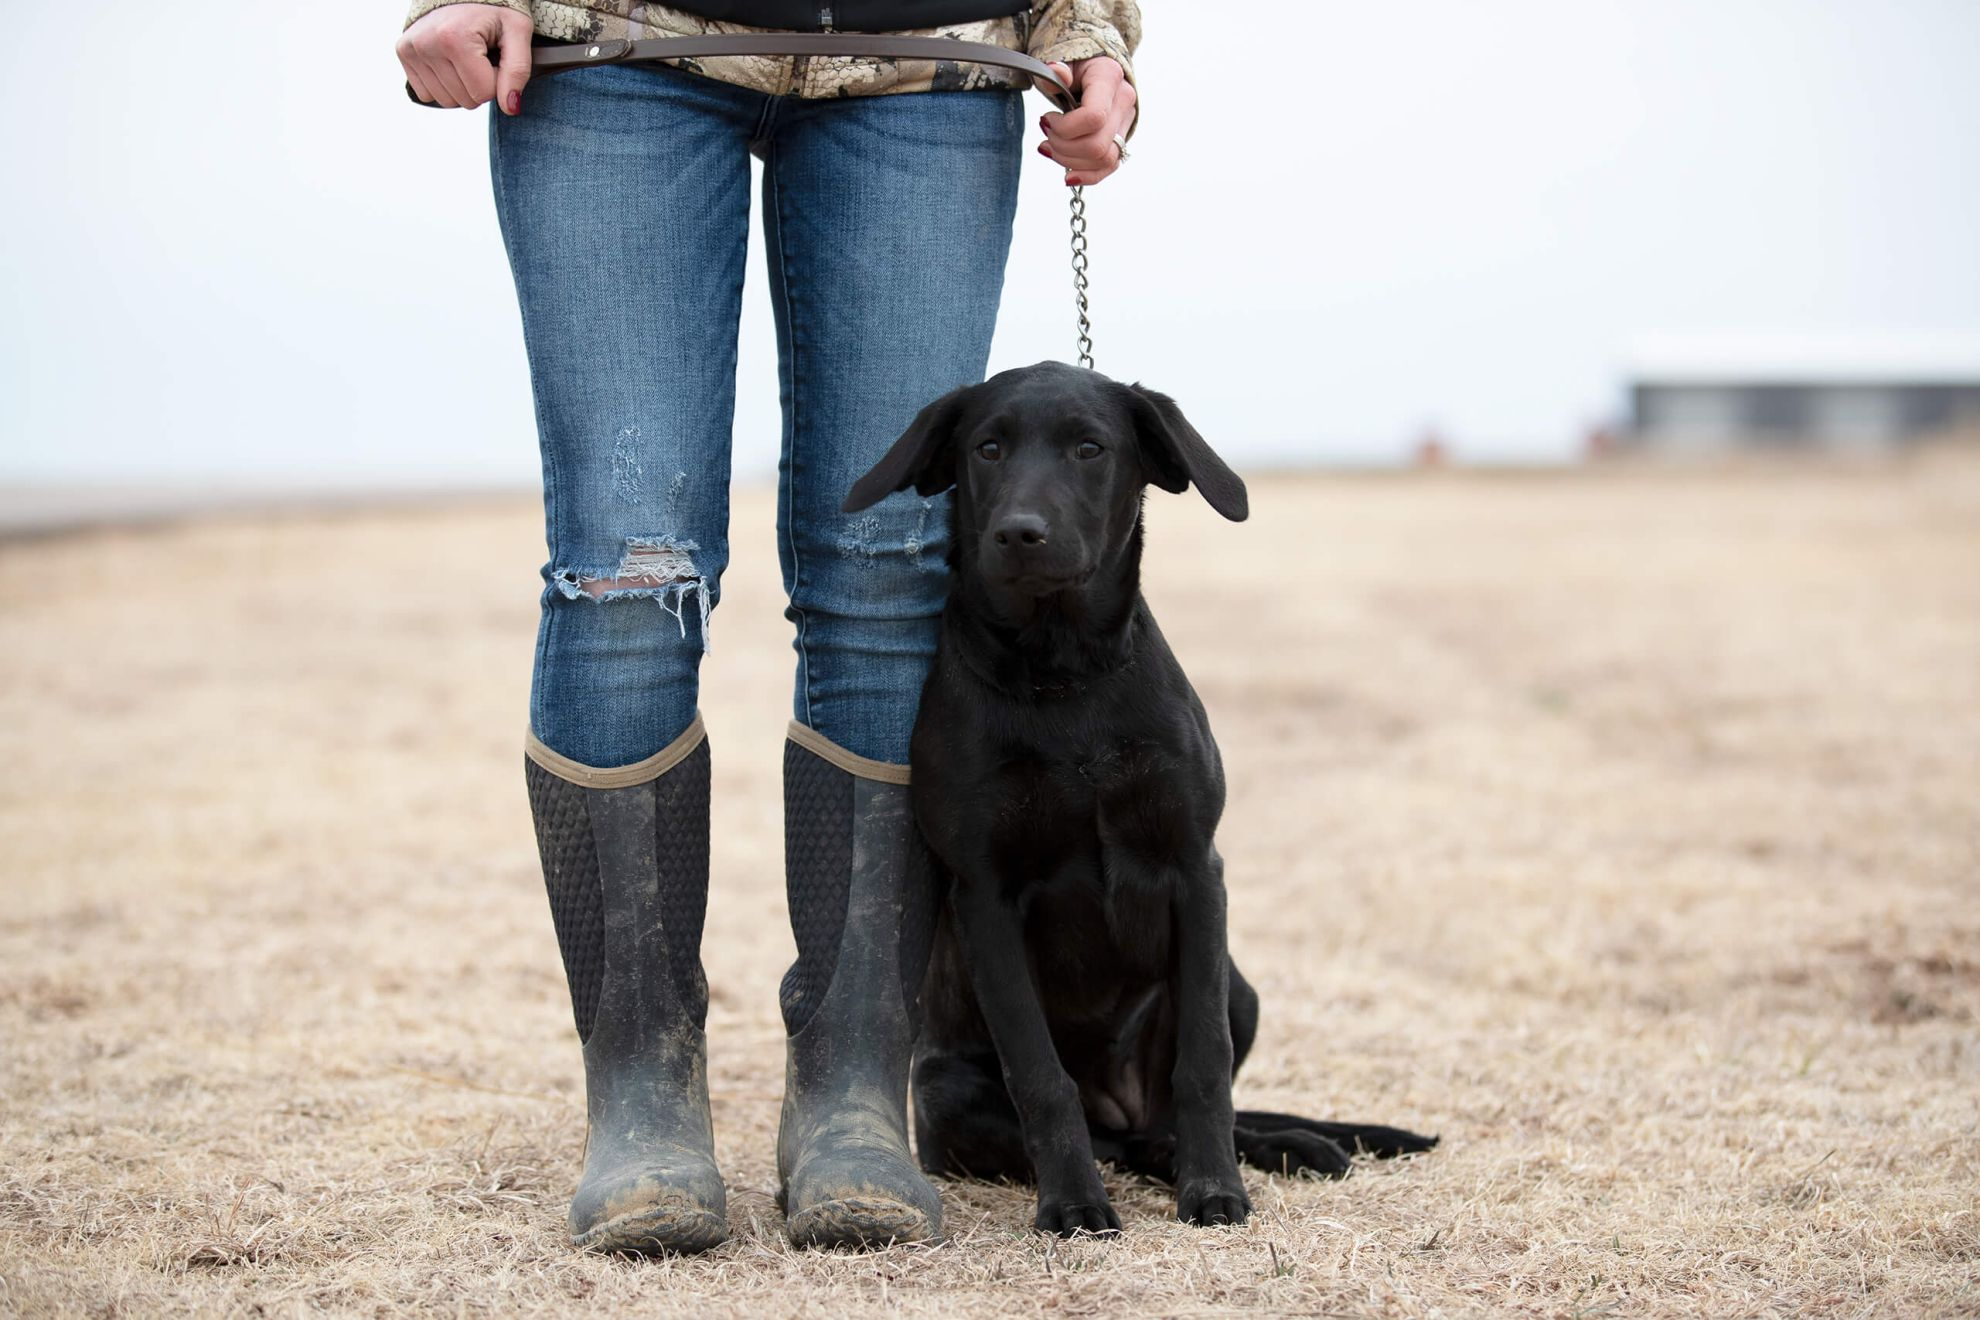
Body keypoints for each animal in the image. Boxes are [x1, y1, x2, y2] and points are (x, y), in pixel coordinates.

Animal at [843, 364, 1433, 1242]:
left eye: (1090, 448)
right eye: (988, 448)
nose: (1019, 534)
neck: (1065, 676)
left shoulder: (1195, 866)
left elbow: (1204, 1067)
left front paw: (1217, 1189)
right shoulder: (986, 895)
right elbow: (1042, 1078)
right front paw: (1072, 1204)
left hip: (1238, 984)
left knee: (1169, 1118)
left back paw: (1285, 1146)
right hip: (951, 1094)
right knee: (1119, 1138)